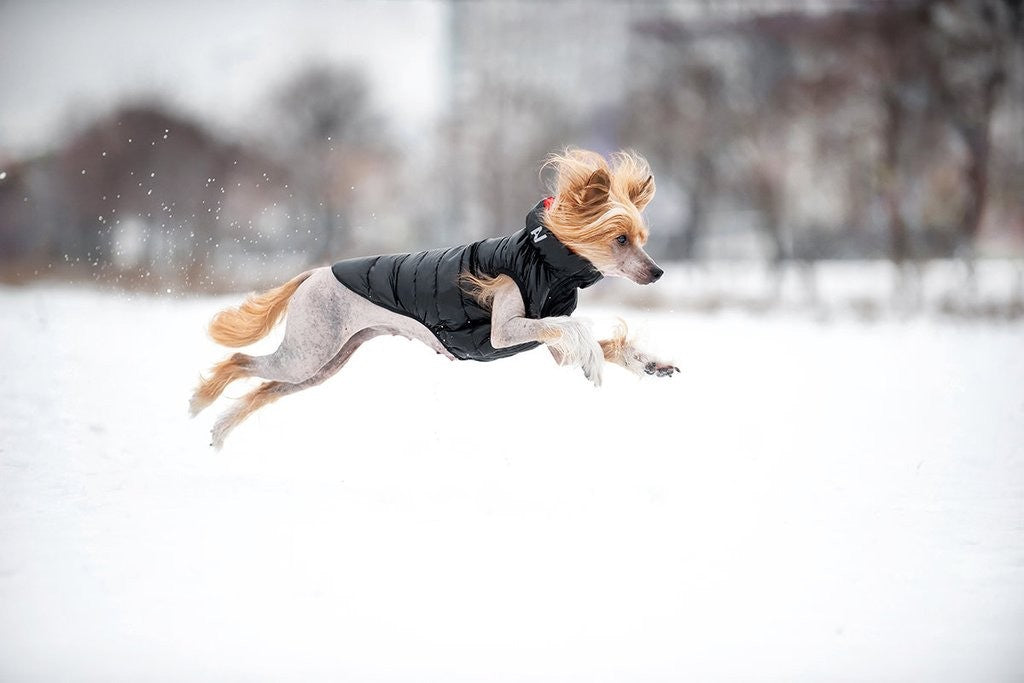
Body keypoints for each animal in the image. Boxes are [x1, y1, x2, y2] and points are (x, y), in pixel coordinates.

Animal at [190, 149, 679, 448]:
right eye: (620, 238)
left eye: (642, 238)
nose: (657, 272)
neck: (542, 256)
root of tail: (315, 273)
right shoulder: (505, 328)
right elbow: (578, 330)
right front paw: (594, 362)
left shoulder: (548, 339)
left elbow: (589, 340)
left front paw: (650, 364)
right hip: (309, 349)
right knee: (240, 360)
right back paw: (200, 403)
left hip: (325, 359)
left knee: (266, 387)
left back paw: (219, 429)